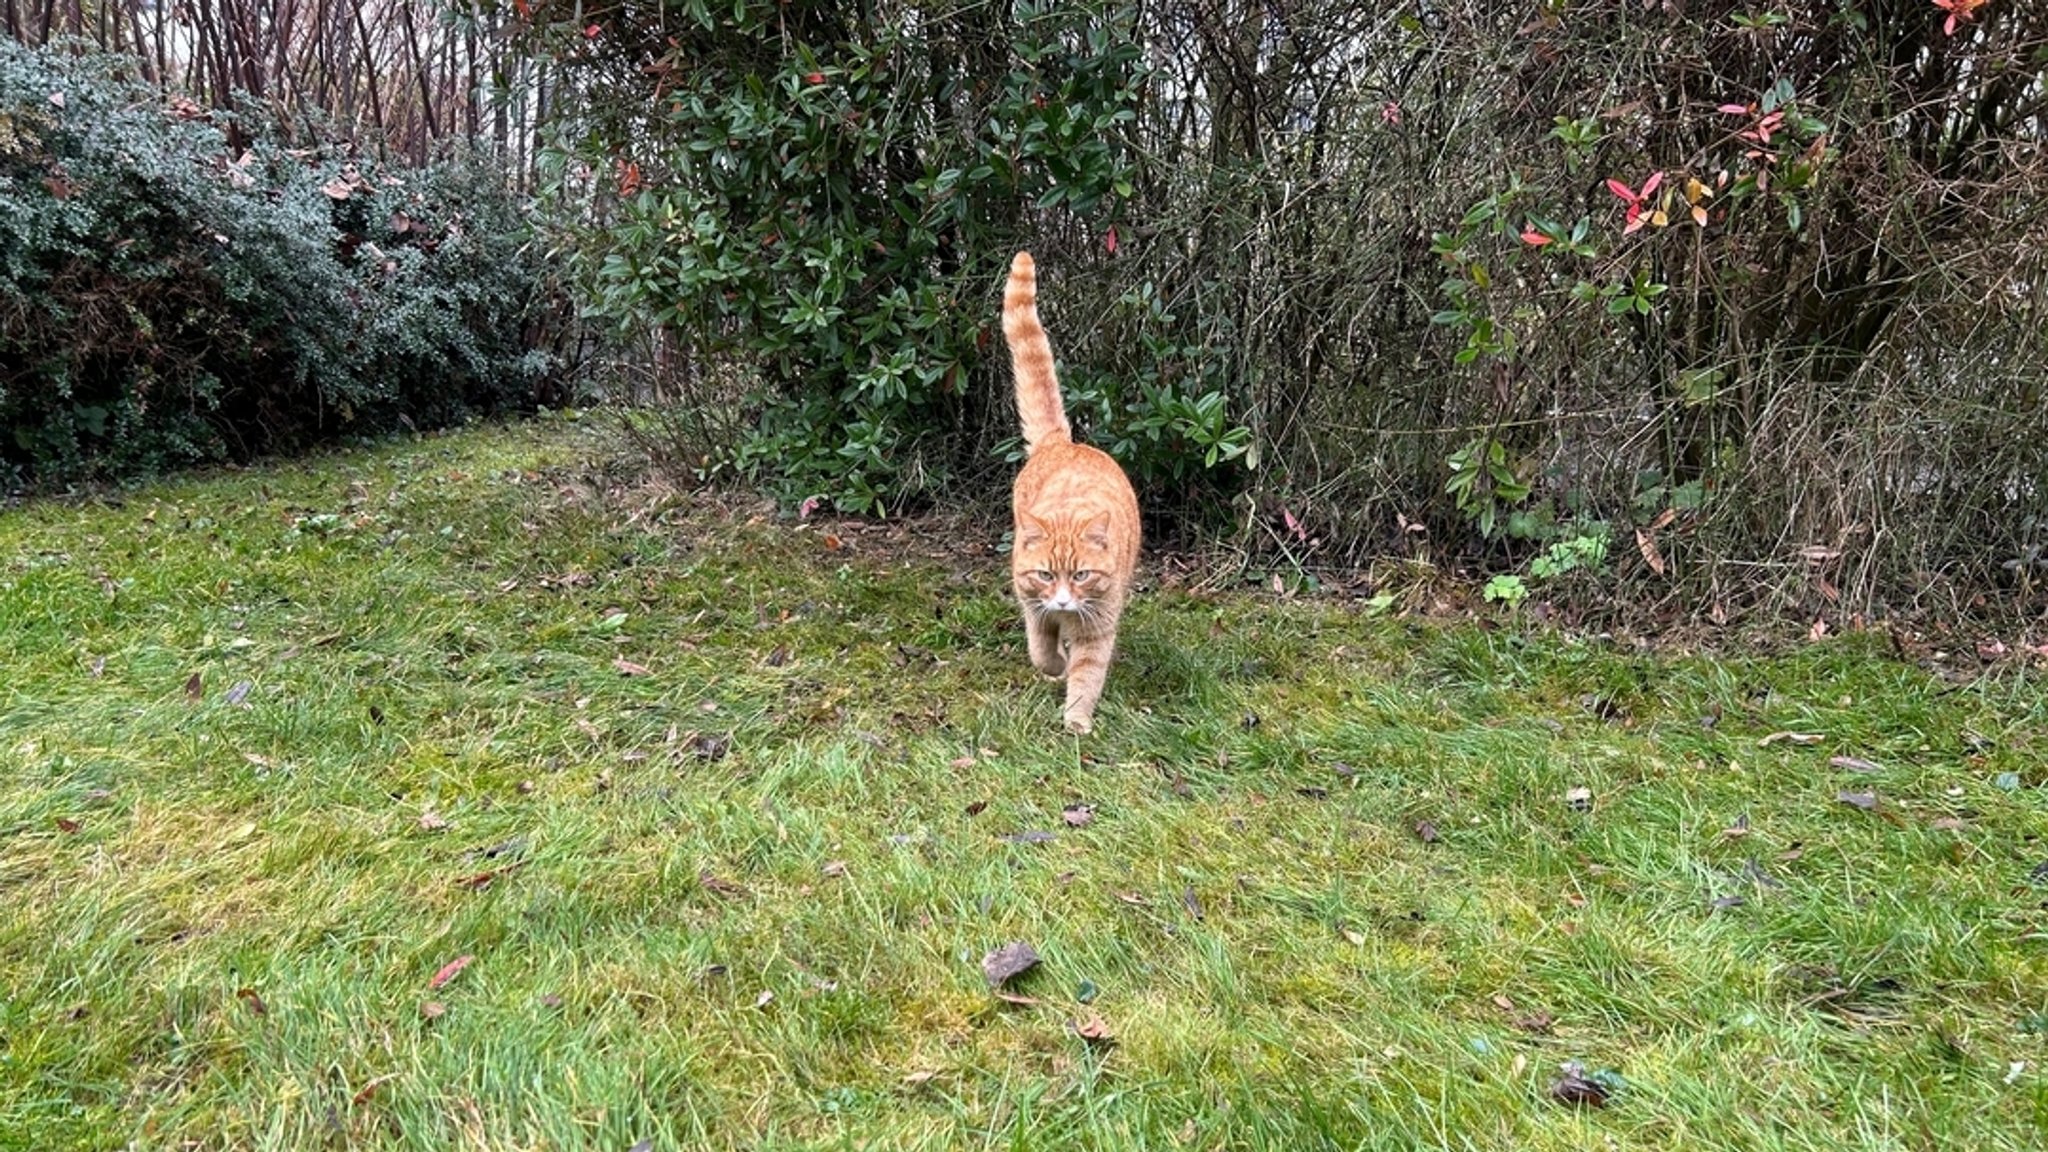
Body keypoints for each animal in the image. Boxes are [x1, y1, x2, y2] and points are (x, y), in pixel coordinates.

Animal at [1003, 252, 1146, 733]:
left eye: (1081, 574)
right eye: (1047, 575)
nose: (1064, 598)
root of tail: (1063, 443)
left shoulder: (1097, 624)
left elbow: (1087, 674)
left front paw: (1077, 721)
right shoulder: (1032, 602)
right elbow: (1040, 647)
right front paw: (1052, 667)